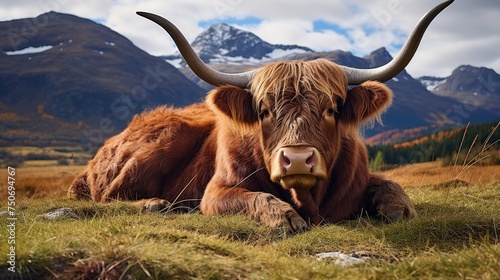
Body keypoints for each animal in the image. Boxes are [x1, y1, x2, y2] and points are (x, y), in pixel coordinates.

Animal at [69, 1, 454, 231]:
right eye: (265, 111)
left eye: (331, 109)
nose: (297, 160)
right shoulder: (216, 191)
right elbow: (254, 198)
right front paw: (286, 219)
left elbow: (389, 183)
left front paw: (399, 210)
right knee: (112, 198)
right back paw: (157, 205)